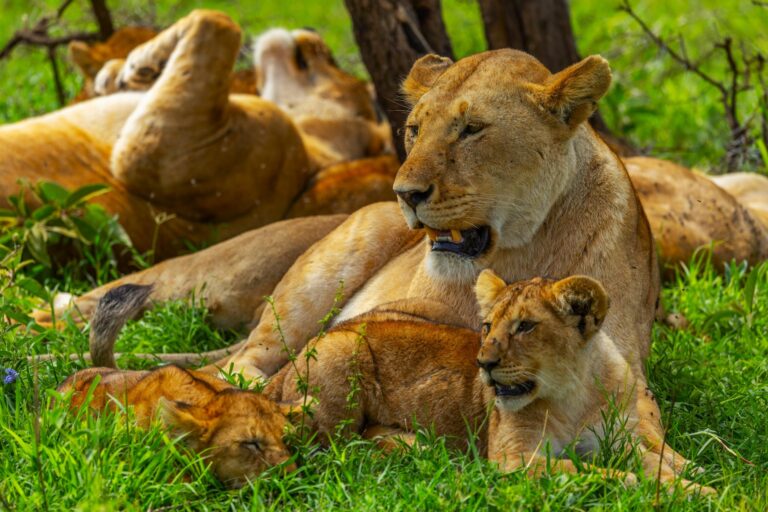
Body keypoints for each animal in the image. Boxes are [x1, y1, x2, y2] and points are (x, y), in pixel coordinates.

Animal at [0, 10, 396, 260]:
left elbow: (218, 21)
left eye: (334, 63)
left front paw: (140, 61)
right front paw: (126, 71)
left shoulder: (163, 154)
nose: (311, 27)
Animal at [263, 273, 713, 495]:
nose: (483, 363)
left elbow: (654, 463)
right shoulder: (514, 460)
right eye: (487, 326)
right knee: (328, 451)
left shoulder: (619, 442)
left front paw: (696, 487)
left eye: (525, 327)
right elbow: (597, 472)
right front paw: (666, 491)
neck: (574, 393)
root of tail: (291, 361)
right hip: (345, 350)